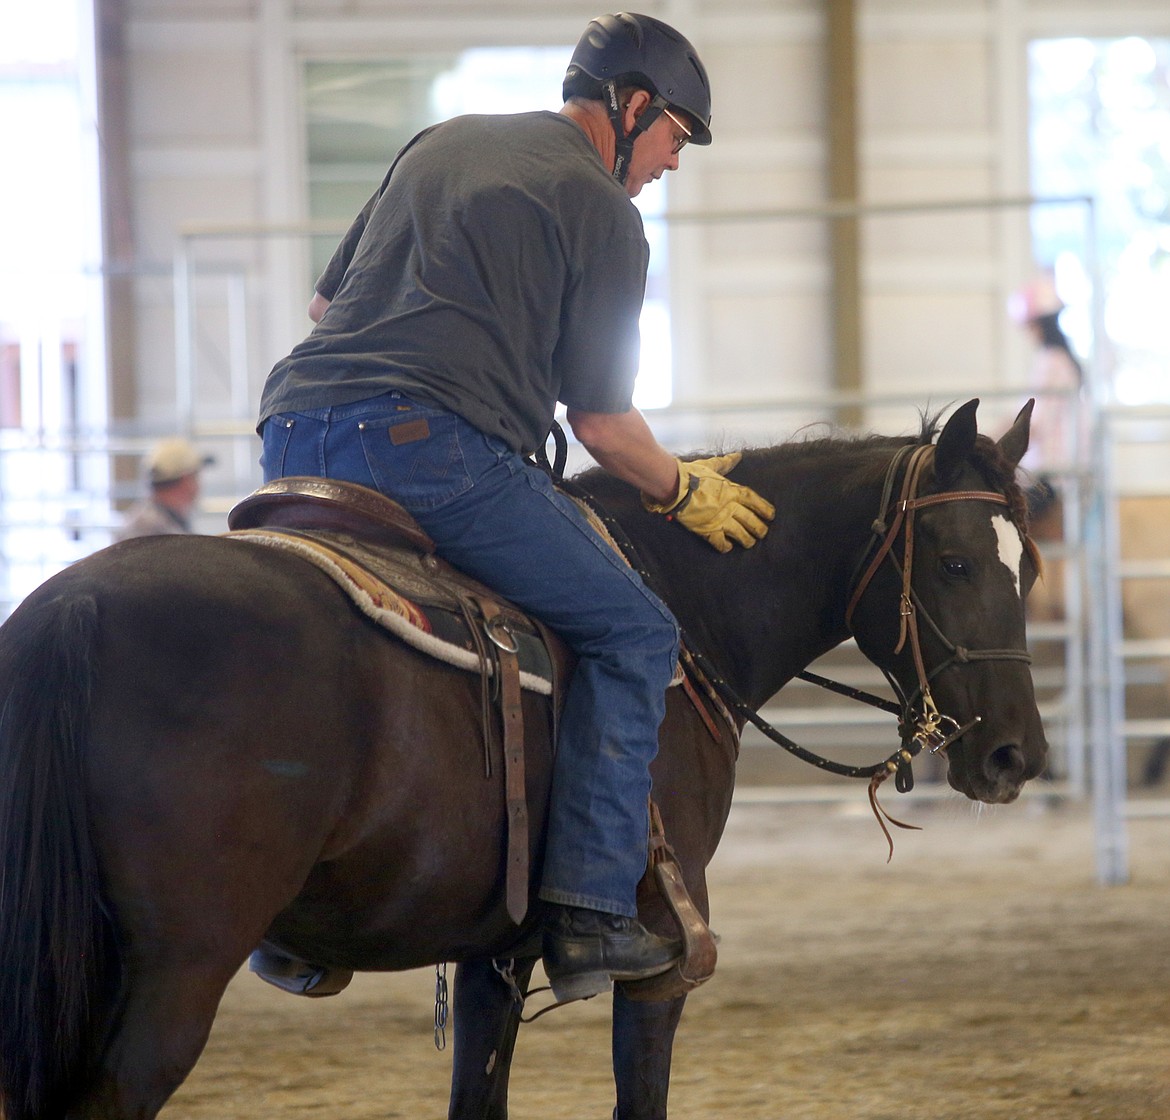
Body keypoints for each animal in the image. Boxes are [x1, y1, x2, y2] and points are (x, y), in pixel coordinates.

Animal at [0, 397, 1043, 1114]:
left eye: (1026, 567)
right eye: (954, 562)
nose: (1015, 756)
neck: (682, 602)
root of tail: (71, 610)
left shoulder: (491, 958)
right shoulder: (662, 956)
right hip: (174, 971)